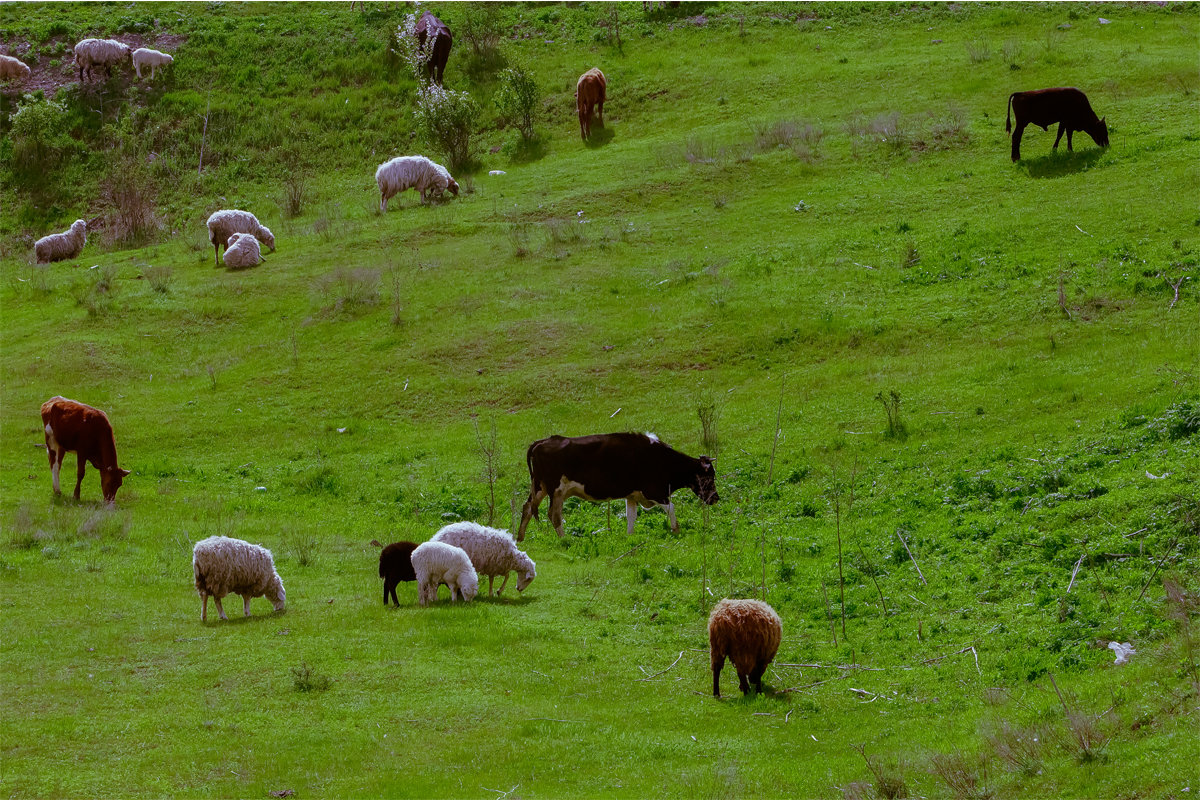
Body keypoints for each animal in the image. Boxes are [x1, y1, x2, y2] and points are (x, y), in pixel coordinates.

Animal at [513, 431, 715, 544]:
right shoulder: (655, 491)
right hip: (555, 491)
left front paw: (630, 536)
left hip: (540, 487)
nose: (716, 498)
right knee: (553, 515)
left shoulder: (633, 495)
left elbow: (631, 516)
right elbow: (671, 507)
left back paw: (520, 538)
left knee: (528, 508)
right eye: (710, 476)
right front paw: (676, 530)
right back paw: (565, 540)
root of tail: (542, 441)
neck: (660, 459)